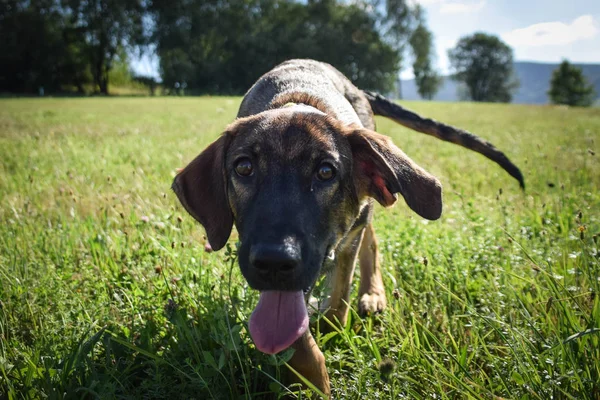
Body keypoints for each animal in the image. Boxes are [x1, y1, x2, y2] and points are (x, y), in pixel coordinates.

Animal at [171, 59, 524, 396]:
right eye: (243, 167)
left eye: (326, 172)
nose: (274, 261)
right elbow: (297, 337)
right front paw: (310, 379)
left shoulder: (347, 237)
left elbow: (338, 300)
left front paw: (330, 332)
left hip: (365, 209)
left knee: (370, 242)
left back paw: (372, 293)